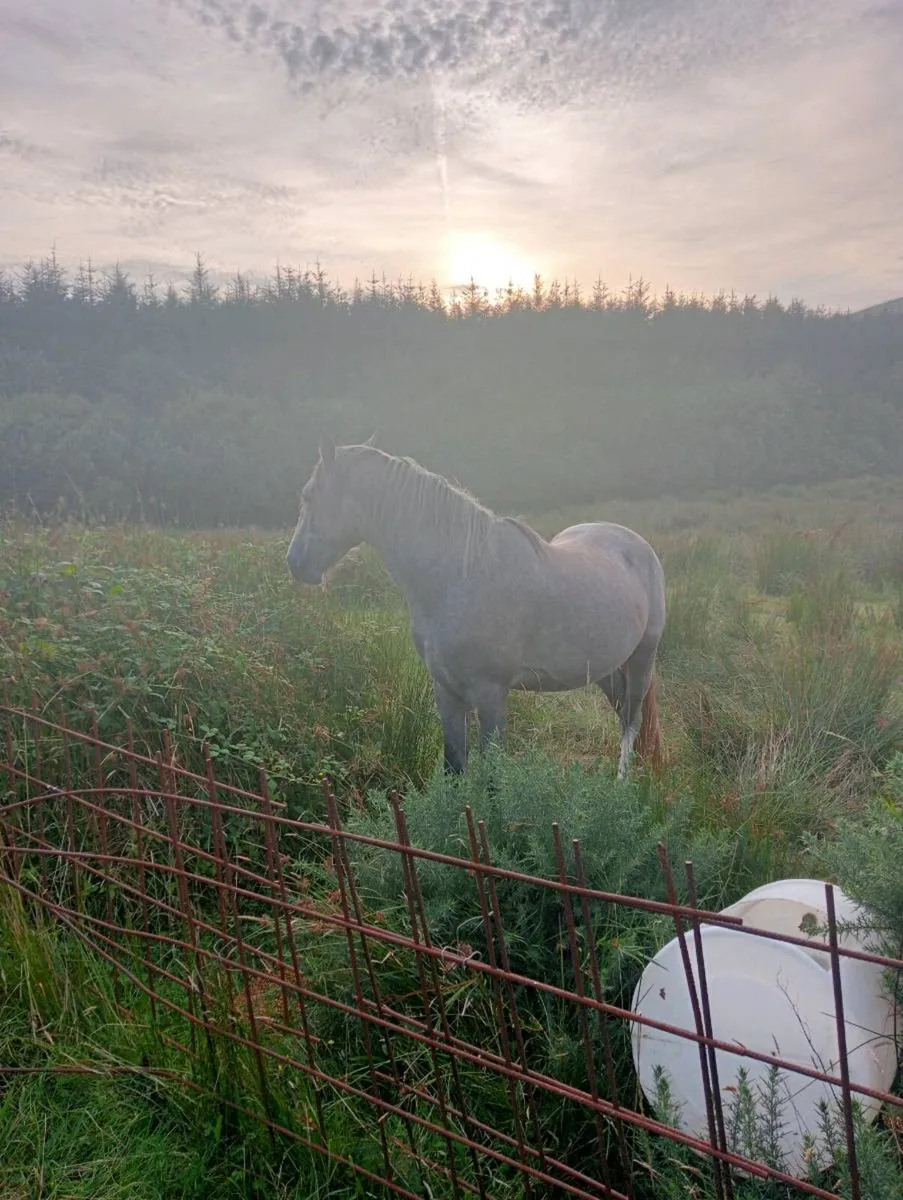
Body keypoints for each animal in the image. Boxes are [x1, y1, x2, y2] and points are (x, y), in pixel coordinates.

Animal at [286, 439, 666, 780]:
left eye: (308, 495)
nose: (295, 563)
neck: (461, 575)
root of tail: (637, 544)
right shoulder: (447, 689)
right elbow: (454, 766)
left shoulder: (490, 694)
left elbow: (493, 775)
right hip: (604, 668)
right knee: (624, 716)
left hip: (643, 658)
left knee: (632, 722)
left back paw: (622, 787)